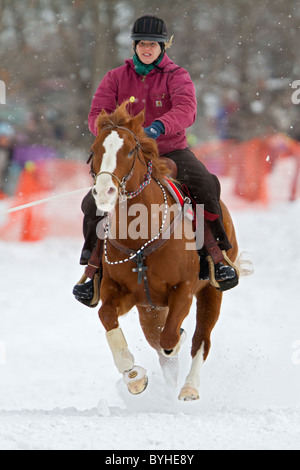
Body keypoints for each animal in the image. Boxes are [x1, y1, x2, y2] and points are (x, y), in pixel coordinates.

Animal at [89, 102, 239, 400]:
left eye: (130, 150)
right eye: (95, 149)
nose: (104, 191)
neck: (140, 238)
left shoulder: (183, 289)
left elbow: (170, 337)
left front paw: (177, 340)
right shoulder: (120, 291)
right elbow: (107, 317)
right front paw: (133, 376)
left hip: (211, 292)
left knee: (200, 339)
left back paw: (189, 386)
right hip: (149, 308)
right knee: (156, 341)